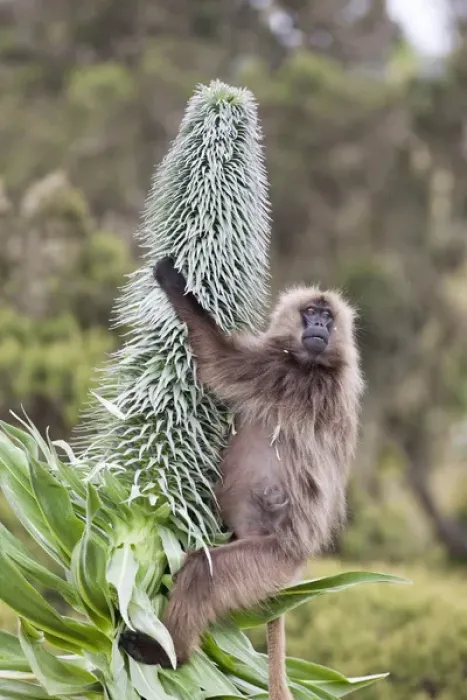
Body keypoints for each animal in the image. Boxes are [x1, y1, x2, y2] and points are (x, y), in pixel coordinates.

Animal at [120, 257, 363, 700]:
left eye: (327, 318)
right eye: (311, 313)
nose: (319, 327)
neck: (314, 362)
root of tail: (294, 568)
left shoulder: (282, 371)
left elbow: (218, 363)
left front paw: (174, 284)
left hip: (270, 560)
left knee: (202, 574)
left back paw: (169, 654)